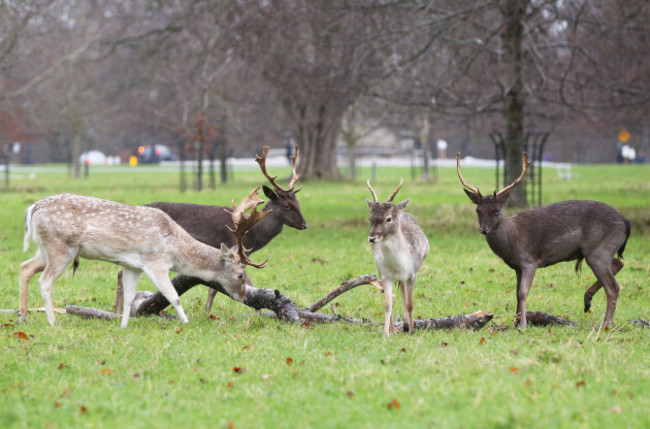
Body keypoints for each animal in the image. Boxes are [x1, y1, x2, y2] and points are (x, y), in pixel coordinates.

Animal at [18, 189, 267, 328]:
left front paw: (124, 326)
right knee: (45, 281)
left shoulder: (133, 266)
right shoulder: (154, 262)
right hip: (60, 247)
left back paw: (23, 316)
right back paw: (52, 322)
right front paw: (186, 323)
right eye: (241, 274)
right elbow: (173, 296)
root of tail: (33, 207)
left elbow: (130, 298)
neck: (175, 246)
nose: (243, 297)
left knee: (24, 267)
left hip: (45, 249)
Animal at [113, 145, 306, 314]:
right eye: (287, 205)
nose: (304, 224)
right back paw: (117, 311)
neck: (252, 236)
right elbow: (242, 283)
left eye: (298, 203)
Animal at [366, 179, 430, 338]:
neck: (398, 264)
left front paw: (412, 331)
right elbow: (388, 304)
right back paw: (395, 329)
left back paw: (406, 325)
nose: (372, 238)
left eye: (388, 218)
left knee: (404, 294)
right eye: (370, 218)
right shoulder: (385, 274)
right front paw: (386, 334)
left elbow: (410, 303)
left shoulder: (413, 273)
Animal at [456, 152, 631, 328]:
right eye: (478, 210)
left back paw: (605, 323)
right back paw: (587, 300)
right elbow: (516, 293)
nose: (484, 229)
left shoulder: (530, 261)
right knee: (619, 264)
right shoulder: (517, 267)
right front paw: (516, 321)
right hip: (602, 250)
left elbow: (523, 293)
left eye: (497, 209)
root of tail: (626, 221)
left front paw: (523, 324)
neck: (512, 241)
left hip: (598, 250)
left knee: (613, 287)